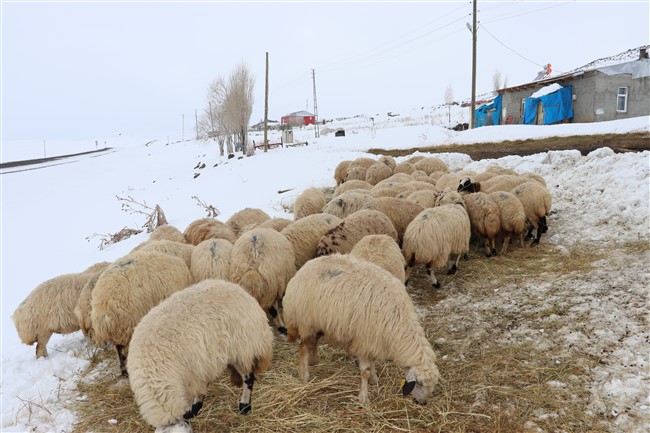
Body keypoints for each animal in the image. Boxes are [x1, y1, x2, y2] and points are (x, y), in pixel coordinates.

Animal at [91, 250, 192, 378]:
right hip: (128, 325)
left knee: (119, 350)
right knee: (124, 351)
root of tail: (103, 312)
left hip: (120, 332)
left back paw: (123, 370)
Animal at [126, 278, 270, 430]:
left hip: (243, 349)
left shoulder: (189, 375)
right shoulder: (194, 370)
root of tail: (240, 290)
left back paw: (244, 405)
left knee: (248, 378)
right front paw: (195, 407)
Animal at [282, 253, 438, 404]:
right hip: (306, 321)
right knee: (303, 347)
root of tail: (304, 268)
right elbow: (365, 370)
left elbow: (373, 361)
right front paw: (364, 398)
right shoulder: (363, 339)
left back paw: (313, 361)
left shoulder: (373, 338)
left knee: (313, 341)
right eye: (419, 383)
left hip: (320, 321)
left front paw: (374, 379)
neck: (398, 318)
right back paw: (304, 376)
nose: (422, 402)